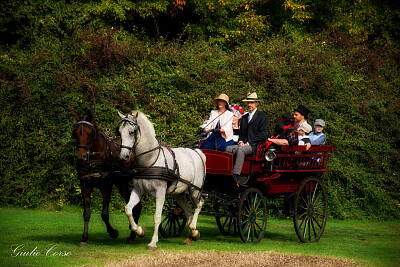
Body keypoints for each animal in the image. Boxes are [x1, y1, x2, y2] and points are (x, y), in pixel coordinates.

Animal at [72, 110, 142, 247]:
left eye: (89, 133)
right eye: (76, 133)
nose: (81, 157)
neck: (95, 158)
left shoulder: (106, 186)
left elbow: (104, 214)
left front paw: (113, 232)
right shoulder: (85, 185)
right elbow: (86, 213)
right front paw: (84, 238)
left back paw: (133, 234)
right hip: (121, 184)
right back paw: (133, 229)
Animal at [116, 111, 206, 251]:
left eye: (131, 132)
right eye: (119, 132)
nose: (123, 157)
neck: (150, 160)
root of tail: (197, 152)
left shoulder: (160, 193)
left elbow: (157, 217)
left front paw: (153, 243)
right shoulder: (138, 190)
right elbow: (128, 209)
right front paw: (140, 231)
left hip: (194, 190)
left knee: (199, 204)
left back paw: (194, 231)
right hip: (179, 193)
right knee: (188, 210)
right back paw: (189, 237)